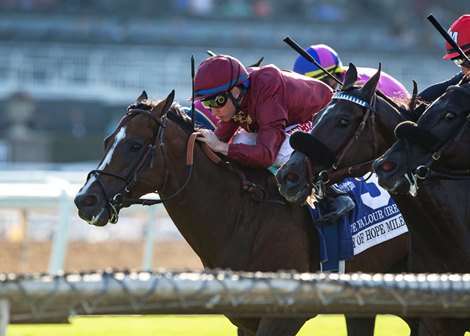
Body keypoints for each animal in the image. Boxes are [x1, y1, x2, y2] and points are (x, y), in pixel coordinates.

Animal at [74, 90, 412, 336]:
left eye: (134, 145)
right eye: (107, 141)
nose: (84, 200)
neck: (245, 217)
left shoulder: (283, 316)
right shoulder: (244, 317)